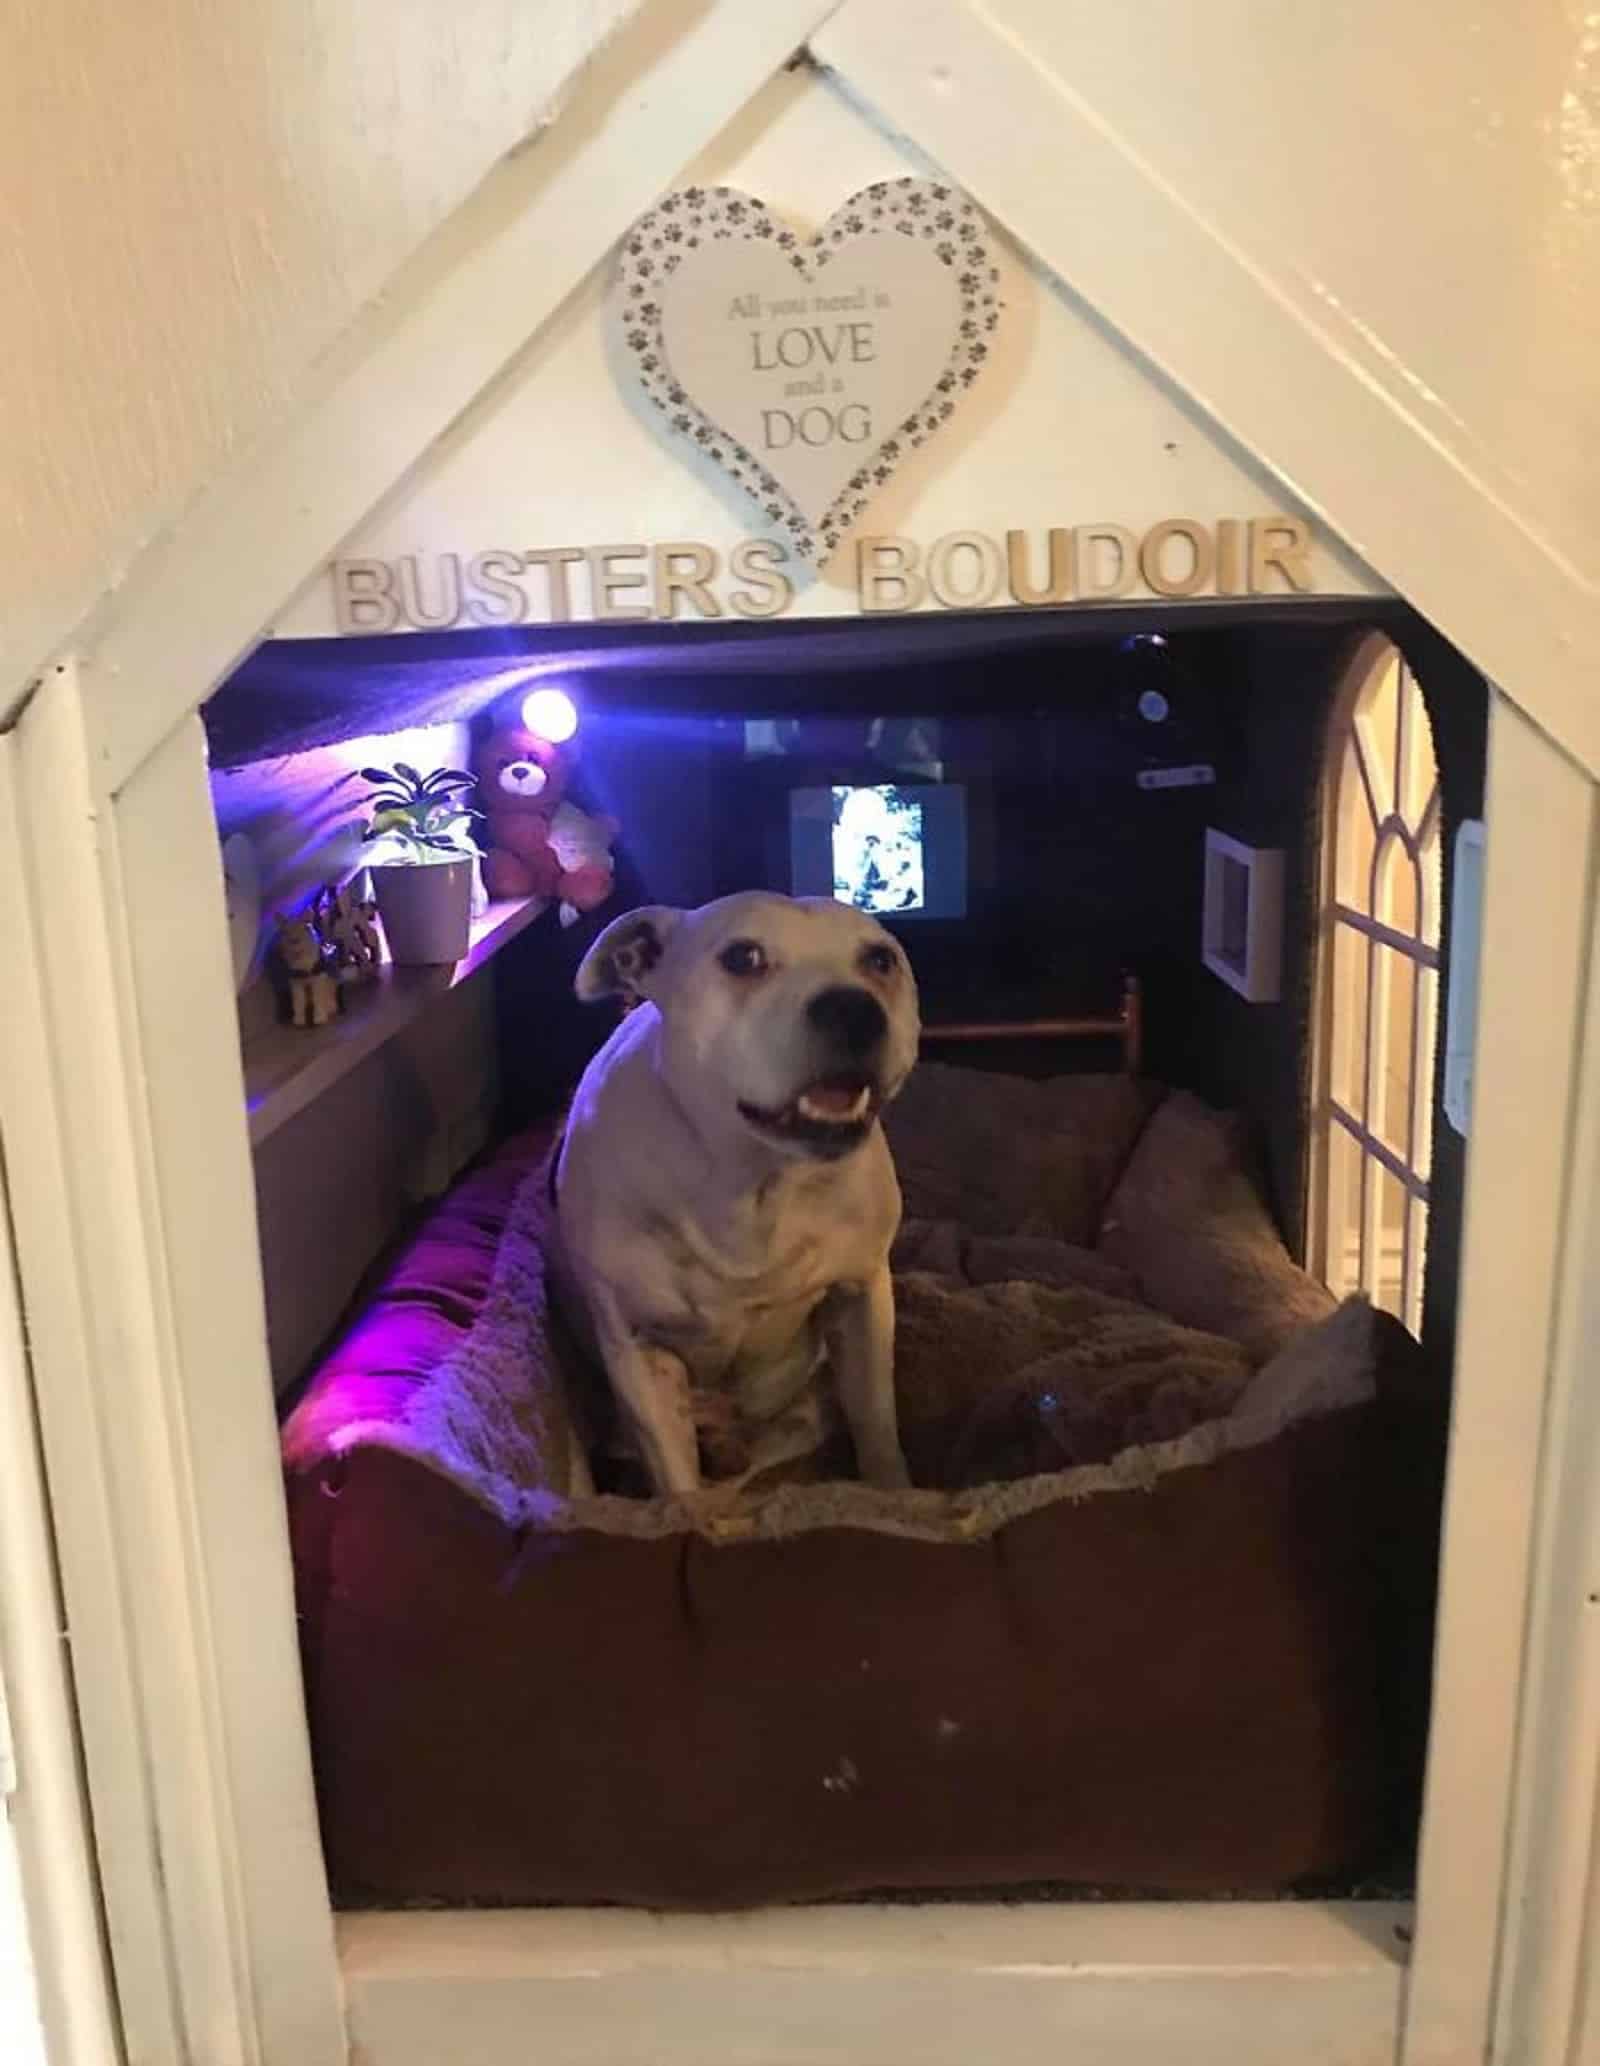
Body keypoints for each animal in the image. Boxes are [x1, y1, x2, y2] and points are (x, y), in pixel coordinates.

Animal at [558, 896, 921, 1495]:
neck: (754, 1181)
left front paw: (898, 1496)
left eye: (880, 960)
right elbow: (679, 1485)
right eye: (742, 957)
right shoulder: (638, 1350)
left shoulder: (862, 1295)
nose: (854, 1008)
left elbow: (877, 1424)